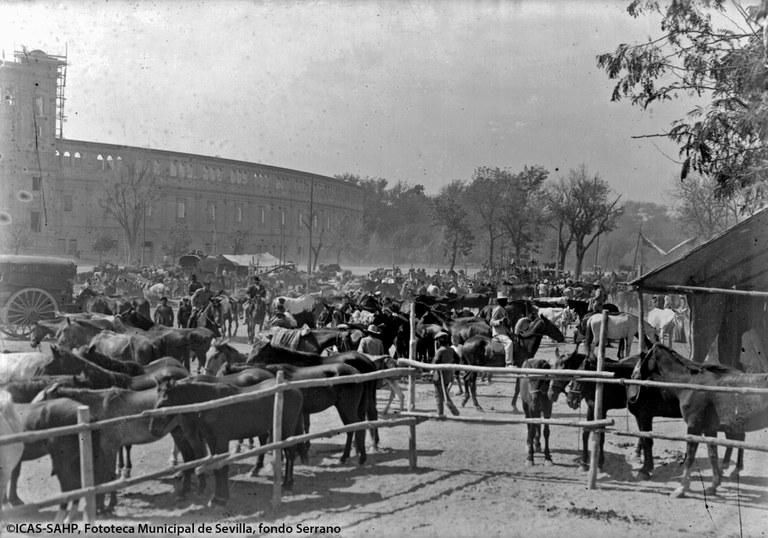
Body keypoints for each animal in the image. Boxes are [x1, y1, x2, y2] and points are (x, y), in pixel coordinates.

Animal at [632, 344, 760, 494]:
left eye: (643, 356)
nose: (633, 396)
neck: (688, 382)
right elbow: (712, 453)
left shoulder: (690, 425)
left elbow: (686, 454)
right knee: (737, 439)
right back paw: (729, 468)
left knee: (738, 439)